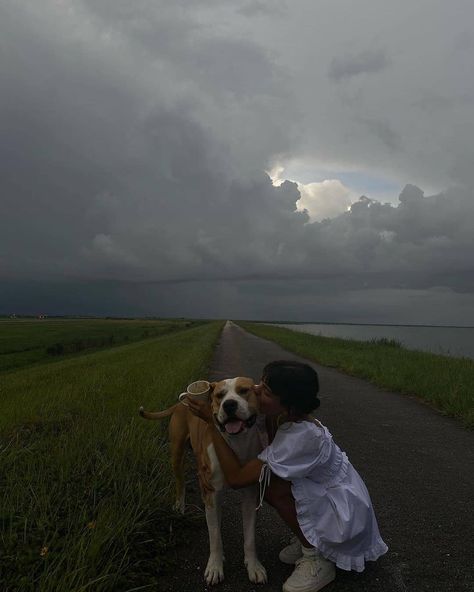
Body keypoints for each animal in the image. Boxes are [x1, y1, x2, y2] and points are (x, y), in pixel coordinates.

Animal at [139, 376, 268, 584]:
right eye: (219, 395)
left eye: (244, 390)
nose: (229, 404)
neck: (235, 443)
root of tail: (181, 402)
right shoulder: (211, 492)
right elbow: (214, 537)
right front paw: (215, 566)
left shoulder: (249, 495)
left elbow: (249, 537)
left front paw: (253, 566)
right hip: (177, 454)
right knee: (180, 483)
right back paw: (180, 506)